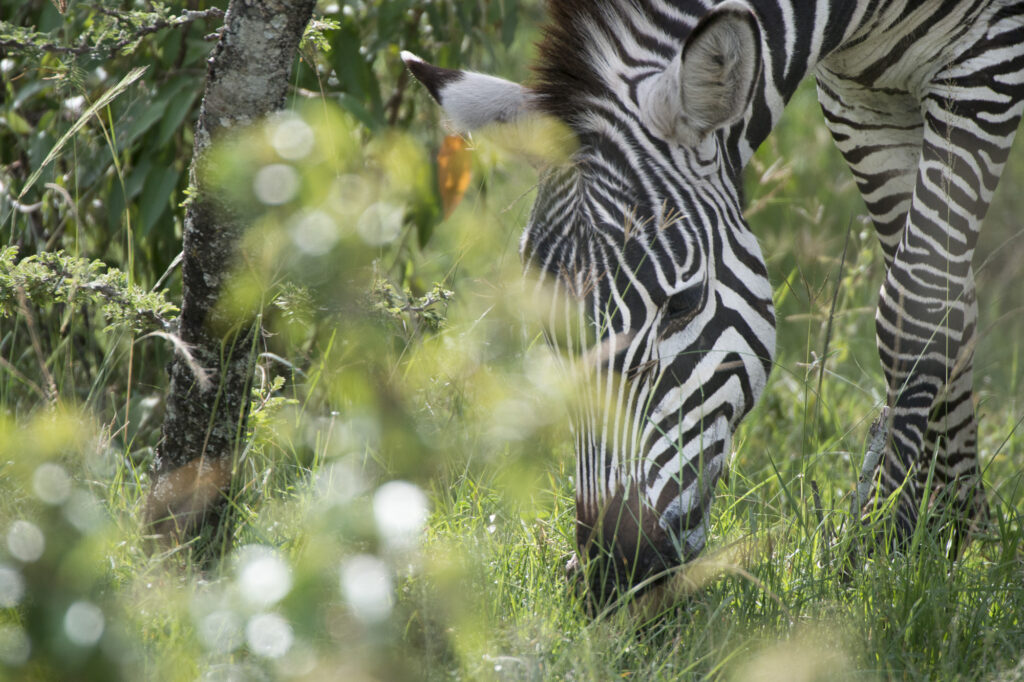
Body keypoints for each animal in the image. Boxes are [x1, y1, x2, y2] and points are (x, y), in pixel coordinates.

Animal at [402, 0, 1024, 600]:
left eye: (682, 303)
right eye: (548, 330)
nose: (611, 577)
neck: (862, 13)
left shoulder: (985, 65)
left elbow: (918, 301)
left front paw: (876, 544)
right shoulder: (859, 97)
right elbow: (950, 300)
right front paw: (947, 526)